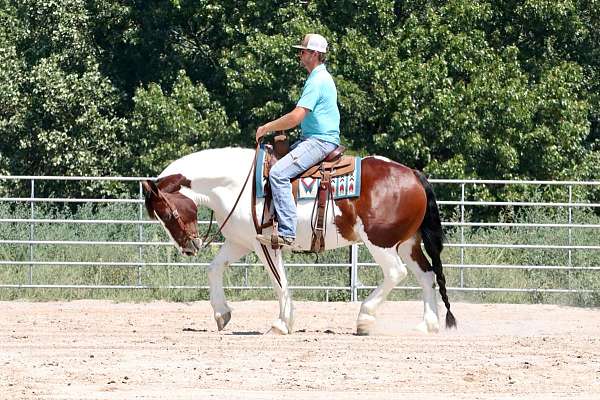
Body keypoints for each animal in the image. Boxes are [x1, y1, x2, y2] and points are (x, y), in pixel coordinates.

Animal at [143, 147, 458, 334]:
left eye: (167, 214)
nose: (188, 247)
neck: (235, 184)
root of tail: (414, 175)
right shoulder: (241, 242)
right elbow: (214, 268)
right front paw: (222, 314)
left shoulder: (265, 244)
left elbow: (279, 282)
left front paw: (281, 324)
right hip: (407, 244)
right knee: (427, 275)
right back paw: (427, 324)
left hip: (381, 243)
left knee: (396, 273)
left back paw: (364, 318)